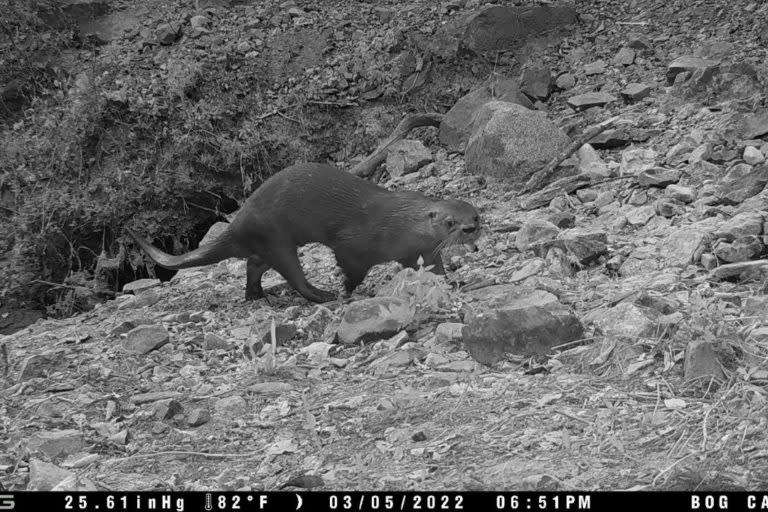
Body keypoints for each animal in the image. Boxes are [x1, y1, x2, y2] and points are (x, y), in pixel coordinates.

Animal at [130, 162, 480, 302]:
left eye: (476, 215)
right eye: (450, 222)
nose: (471, 228)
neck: (399, 222)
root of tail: (239, 221)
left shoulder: (417, 251)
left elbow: (432, 268)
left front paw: (450, 281)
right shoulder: (354, 245)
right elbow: (351, 268)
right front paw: (347, 291)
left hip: (266, 243)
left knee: (254, 263)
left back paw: (256, 295)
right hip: (275, 235)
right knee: (292, 274)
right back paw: (322, 295)